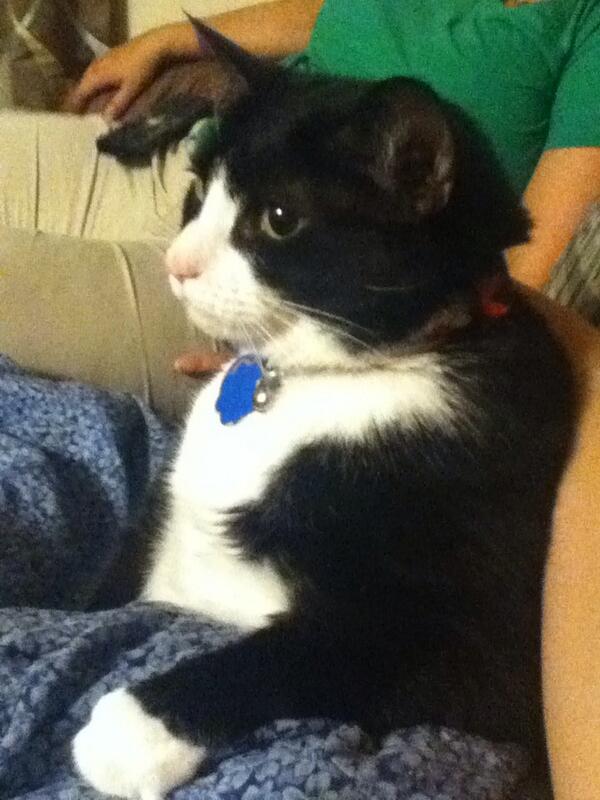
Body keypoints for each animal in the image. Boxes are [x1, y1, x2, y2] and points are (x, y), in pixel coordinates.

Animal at [73, 20, 574, 800]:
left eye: (279, 220)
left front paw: (130, 732)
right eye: (198, 193)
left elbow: (299, 654)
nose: (177, 265)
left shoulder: (484, 640)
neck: (321, 379)